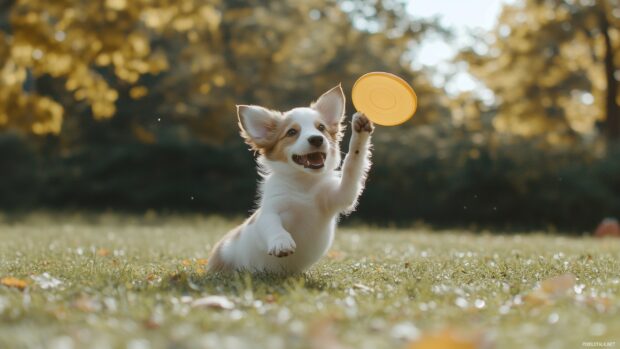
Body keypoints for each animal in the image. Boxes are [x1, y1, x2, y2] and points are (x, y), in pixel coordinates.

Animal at [207, 85, 372, 274]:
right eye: (292, 132)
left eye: (321, 128)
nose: (317, 139)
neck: (303, 182)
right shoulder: (269, 211)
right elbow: (272, 224)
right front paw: (281, 242)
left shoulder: (341, 195)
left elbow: (352, 165)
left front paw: (360, 132)